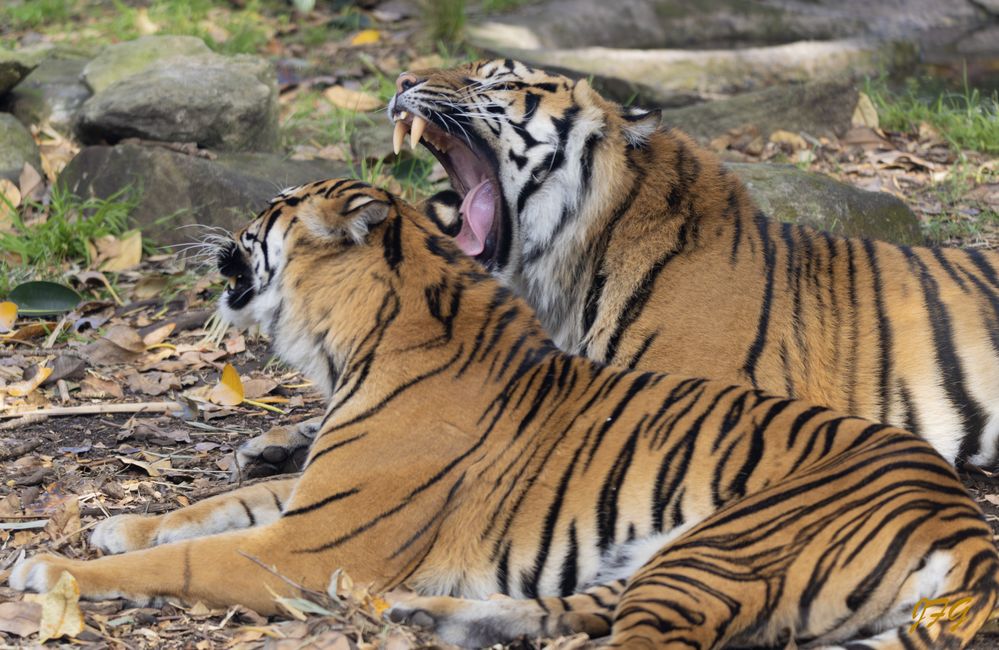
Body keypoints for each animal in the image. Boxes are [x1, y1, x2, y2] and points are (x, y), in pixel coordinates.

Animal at [9, 177, 999, 648]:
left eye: (274, 210)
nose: (219, 242)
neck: (352, 344)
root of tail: (961, 518)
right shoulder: (315, 502)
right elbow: (210, 508)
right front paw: (119, 525)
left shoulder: (308, 546)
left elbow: (183, 559)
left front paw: (50, 568)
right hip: (663, 558)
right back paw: (427, 618)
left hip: (722, 549)